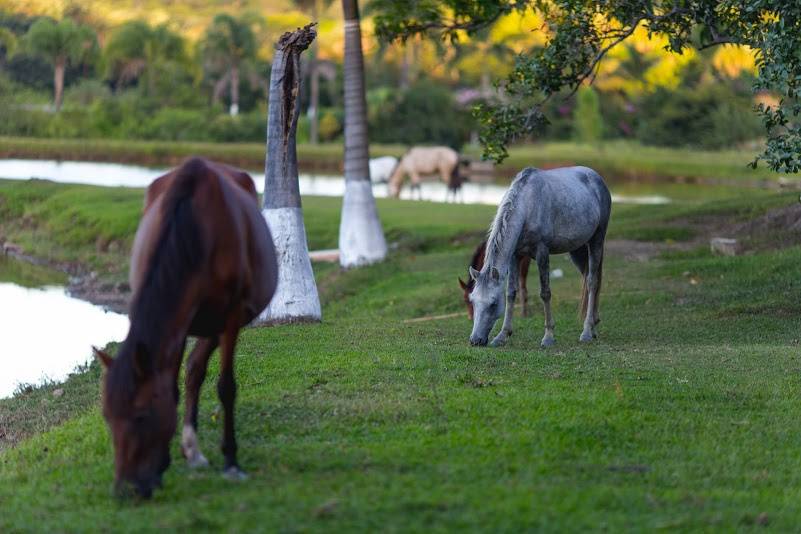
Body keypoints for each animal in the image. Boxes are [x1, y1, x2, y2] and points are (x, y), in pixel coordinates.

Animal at [94, 157, 278, 500]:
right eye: (107, 417)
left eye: (141, 415)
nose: (126, 490)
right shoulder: (176, 325)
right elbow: (172, 387)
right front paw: (163, 463)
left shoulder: (231, 317)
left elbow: (225, 387)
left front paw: (231, 461)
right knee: (192, 370)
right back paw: (190, 446)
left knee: (198, 369)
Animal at [466, 168, 608, 352]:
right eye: (472, 300)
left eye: (493, 304)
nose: (475, 340)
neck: (527, 206)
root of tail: (596, 177)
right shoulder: (515, 256)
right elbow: (511, 293)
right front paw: (502, 335)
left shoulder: (542, 253)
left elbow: (545, 293)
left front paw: (548, 337)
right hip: (577, 249)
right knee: (589, 277)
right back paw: (594, 325)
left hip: (597, 240)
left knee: (592, 281)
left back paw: (587, 331)